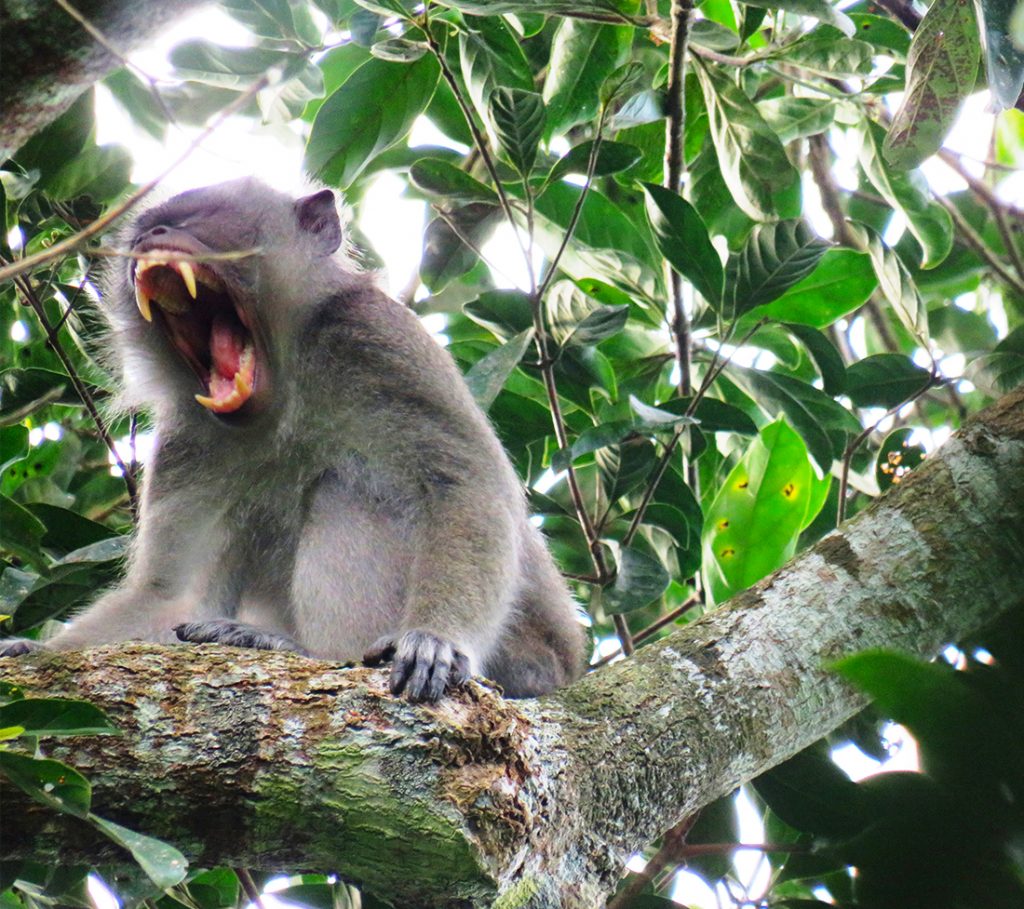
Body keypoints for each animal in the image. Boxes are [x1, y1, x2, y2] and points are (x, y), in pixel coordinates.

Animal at [0, 178, 586, 703]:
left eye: (201, 216)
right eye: (145, 229)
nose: (152, 236)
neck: (281, 390)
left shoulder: (378, 338)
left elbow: (464, 488)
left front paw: (436, 640)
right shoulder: (187, 438)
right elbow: (171, 593)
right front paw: (35, 650)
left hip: (529, 657)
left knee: (348, 488)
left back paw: (306, 651)